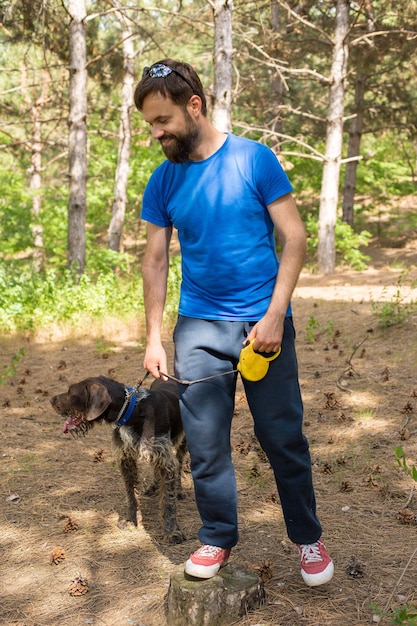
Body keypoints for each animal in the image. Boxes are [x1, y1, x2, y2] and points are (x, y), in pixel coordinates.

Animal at [49, 376, 186, 540]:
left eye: (71, 392)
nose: (51, 400)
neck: (131, 411)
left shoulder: (165, 459)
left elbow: (168, 499)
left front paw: (171, 531)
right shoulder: (126, 458)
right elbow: (131, 493)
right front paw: (131, 520)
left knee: (180, 462)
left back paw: (179, 490)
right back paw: (153, 486)